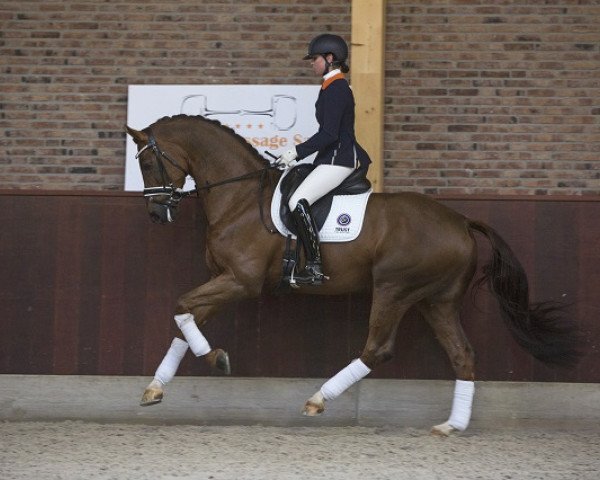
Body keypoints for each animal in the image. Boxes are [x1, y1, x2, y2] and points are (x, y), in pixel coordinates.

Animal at [124, 113, 580, 436]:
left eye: (148, 162)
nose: (156, 213)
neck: (238, 198)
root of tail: (462, 221)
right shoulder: (223, 279)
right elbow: (185, 320)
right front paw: (156, 387)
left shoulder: (241, 281)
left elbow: (181, 307)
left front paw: (216, 358)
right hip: (437, 300)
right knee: (462, 354)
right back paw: (452, 425)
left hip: (394, 288)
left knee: (378, 348)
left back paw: (317, 400)